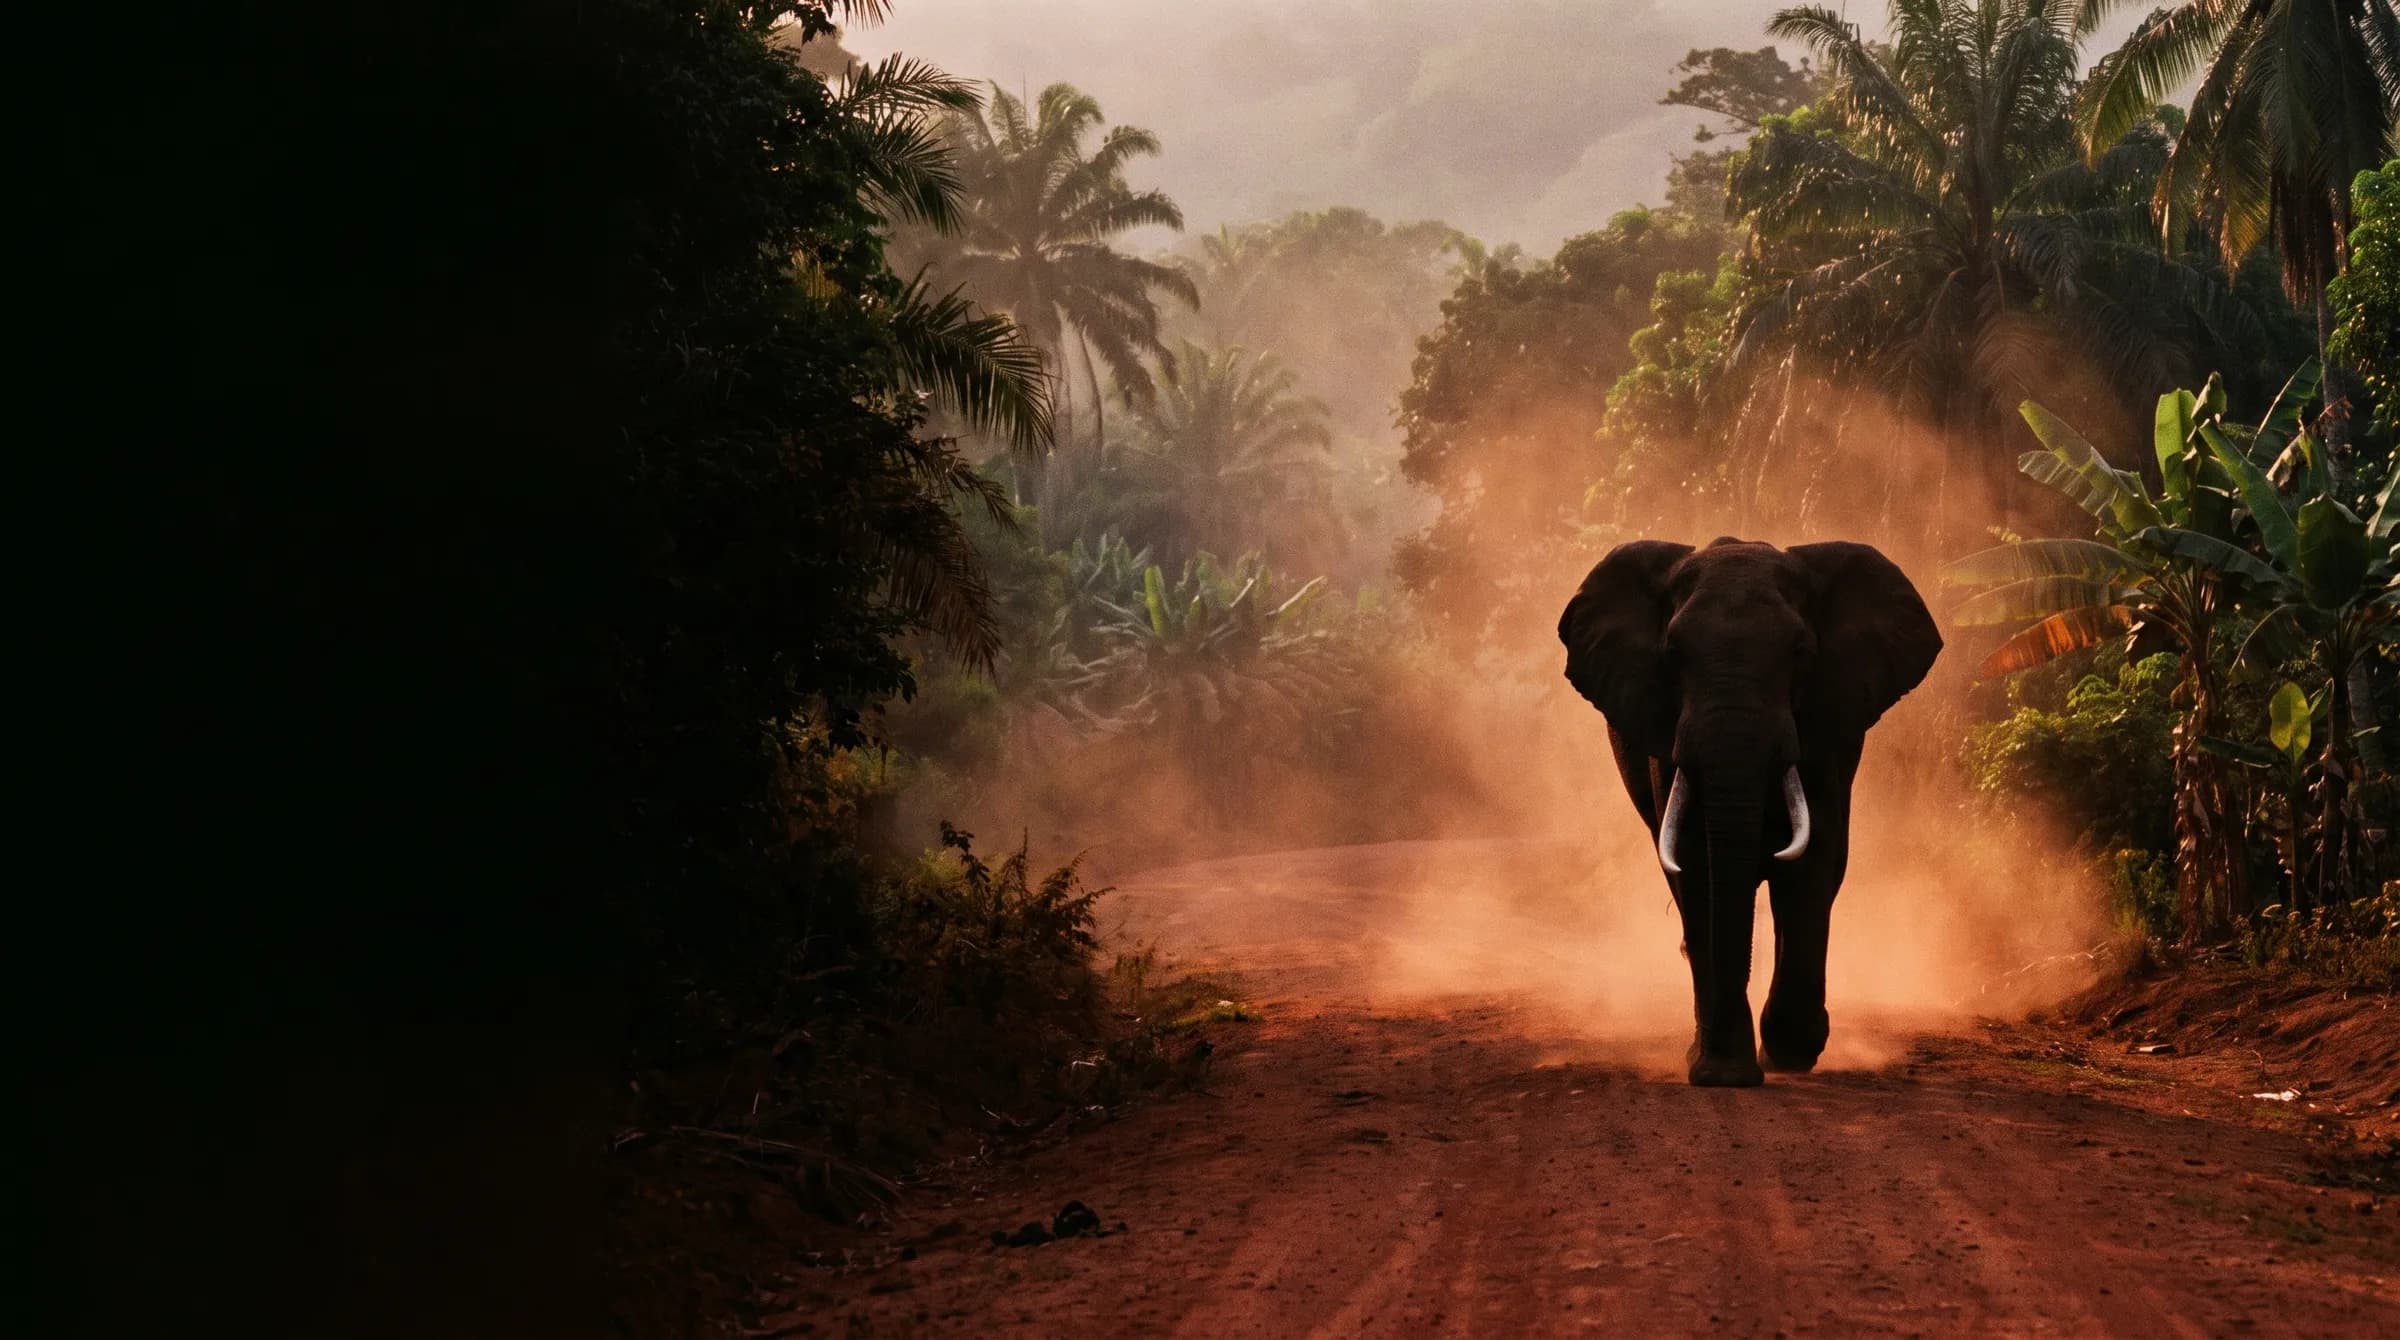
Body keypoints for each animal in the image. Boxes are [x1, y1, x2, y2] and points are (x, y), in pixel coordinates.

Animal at [1557, 536, 1941, 1087]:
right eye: (1672, 654)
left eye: (1800, 652)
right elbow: (1695, 862)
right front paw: (1722, 1073)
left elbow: (1809, 865)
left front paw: (1787, 1054)